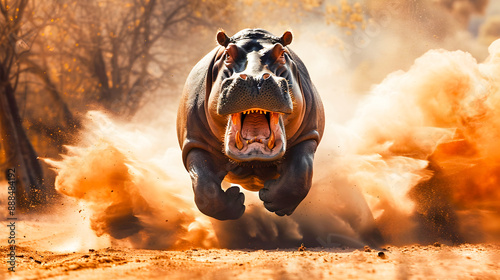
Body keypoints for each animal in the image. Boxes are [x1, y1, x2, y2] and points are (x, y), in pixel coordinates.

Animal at [176, 29, 324, 221]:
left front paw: (273, 200)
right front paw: (235, 201)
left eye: (282, 53)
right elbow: (206, 190)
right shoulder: (195, 142)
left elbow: (300, 173)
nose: (255, 79)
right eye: (227, 54)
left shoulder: (308, 135)